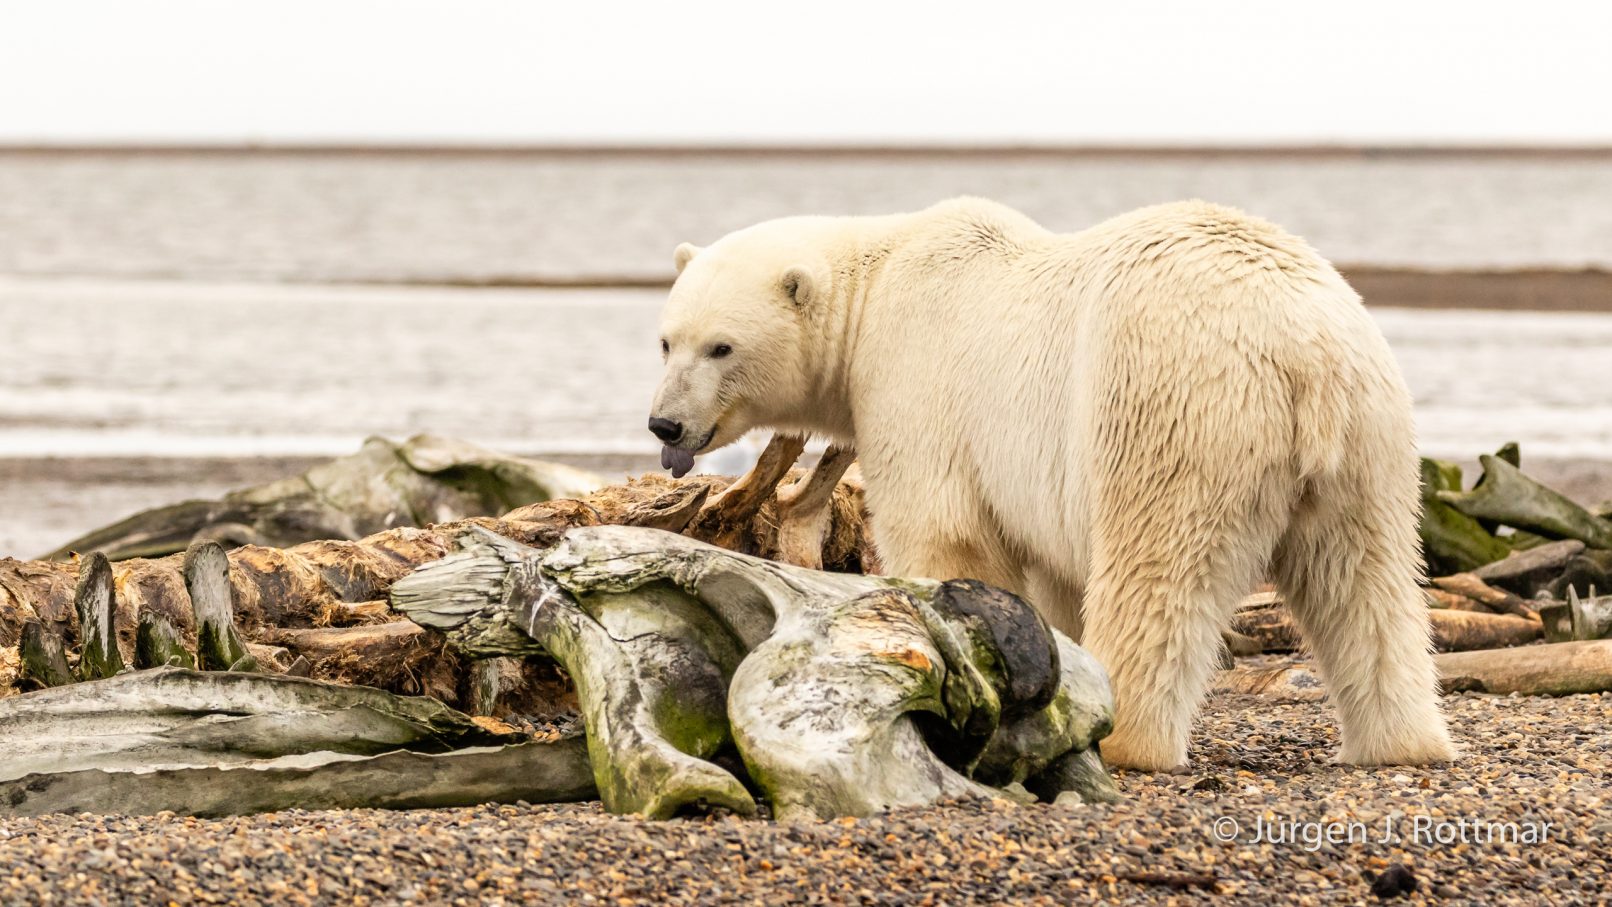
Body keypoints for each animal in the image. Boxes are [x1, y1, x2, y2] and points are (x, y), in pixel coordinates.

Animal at [648, 197, 1455, 771]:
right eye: (666, 340)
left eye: (721, 347)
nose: (666, 424)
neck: (878, 280)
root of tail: (1301, 348)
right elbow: (1055, 578)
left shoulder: (919, 382)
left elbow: (944, 531)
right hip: (1369, 440)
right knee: (1364, 580)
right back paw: (1399, 740)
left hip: (1173, 410)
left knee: (1156, 573)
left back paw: (1126, 737)